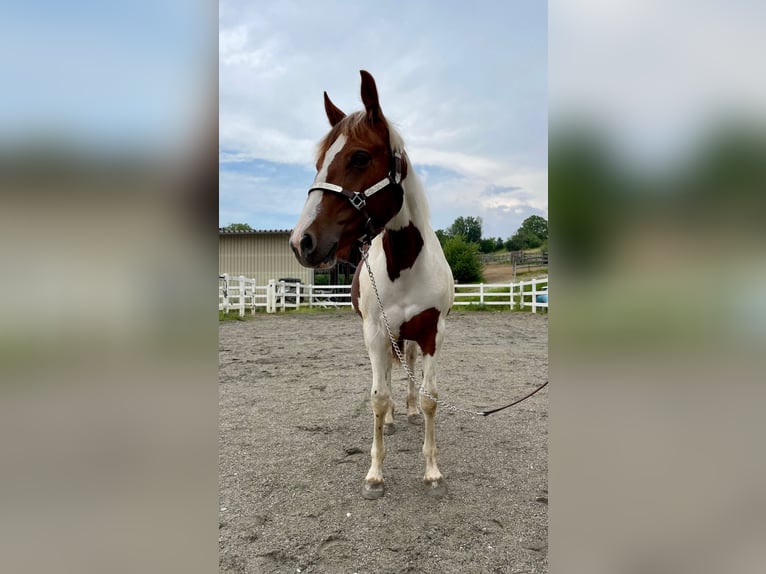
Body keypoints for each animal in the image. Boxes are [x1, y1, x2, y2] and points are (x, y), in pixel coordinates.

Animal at [292, 68, 452, 500]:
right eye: (319, 162)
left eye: (359, 157)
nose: (302, 242)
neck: (405, 262)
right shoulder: (376, 332)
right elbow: (378, 398)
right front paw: (375, 474)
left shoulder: (431, 332)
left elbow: (430, 397)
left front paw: (432, 471)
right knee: (391, 378)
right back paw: (396, 417)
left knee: (408, 367)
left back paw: (407, 411)